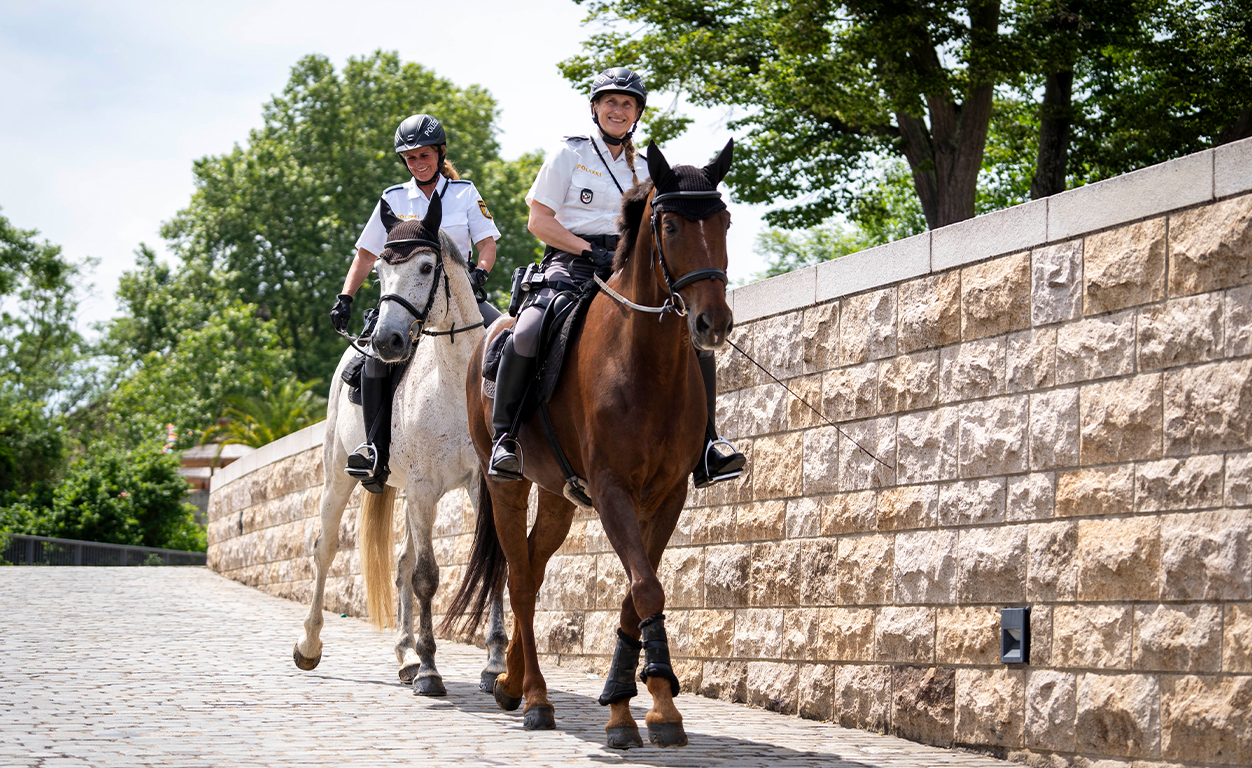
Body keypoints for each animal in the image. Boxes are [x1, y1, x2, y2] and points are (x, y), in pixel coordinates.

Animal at [291, 197, 503, 696]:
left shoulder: (482, 485)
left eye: (426, 266)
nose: (387, 340)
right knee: (326, 548)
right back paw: (310, 645)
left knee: (403, 559)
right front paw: (430, 670)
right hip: (338, 477)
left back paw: (406, 656)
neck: (454, 383)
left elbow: (493, 566)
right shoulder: (424, 488)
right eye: (379, 273)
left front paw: (494, 666)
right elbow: (426, 576)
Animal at [448, 139, 731, 746]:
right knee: (520, 579)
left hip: (558, 495)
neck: (647, 362)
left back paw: (511, 680)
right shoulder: (611, 490)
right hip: (505, 483)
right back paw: (535, 697)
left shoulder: (666, 495)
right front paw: (635, 706)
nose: (711, 324)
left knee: (532, 566)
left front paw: (643, 703)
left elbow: (637, 590)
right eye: (670, 225)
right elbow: (645, 587)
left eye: (724, 221)